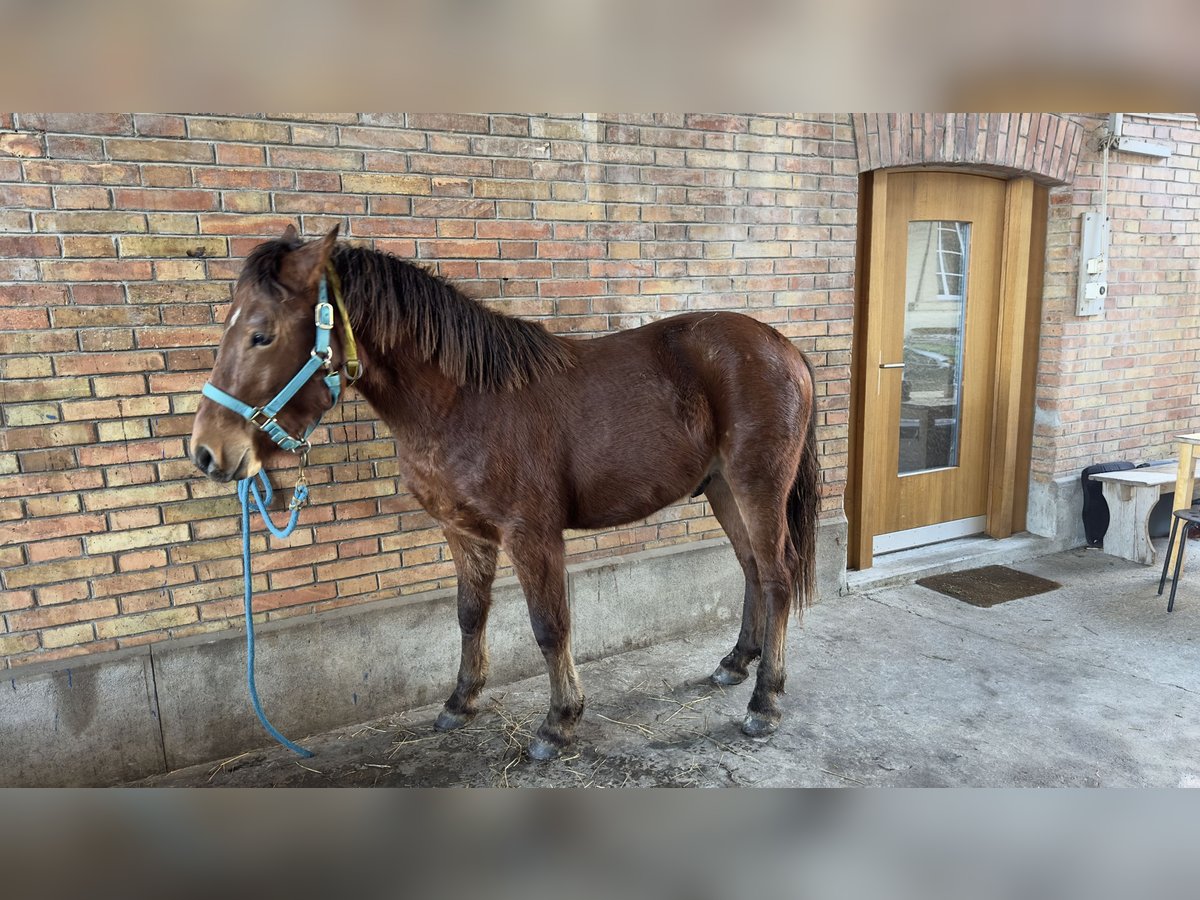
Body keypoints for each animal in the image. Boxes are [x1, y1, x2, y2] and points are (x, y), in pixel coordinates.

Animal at [192, 226, 820, 763]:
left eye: (262, 333)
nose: (206, 453)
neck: (463, 403)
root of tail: (781, 345)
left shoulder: (531, 535)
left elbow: (549, 625)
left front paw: (558, 723)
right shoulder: (462, 532)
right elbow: (470, 615)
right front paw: (460, 701)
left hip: (758, 486)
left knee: (777, 576)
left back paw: (765, 701)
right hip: (722, 490)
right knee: (750, 568)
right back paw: (736, 663)